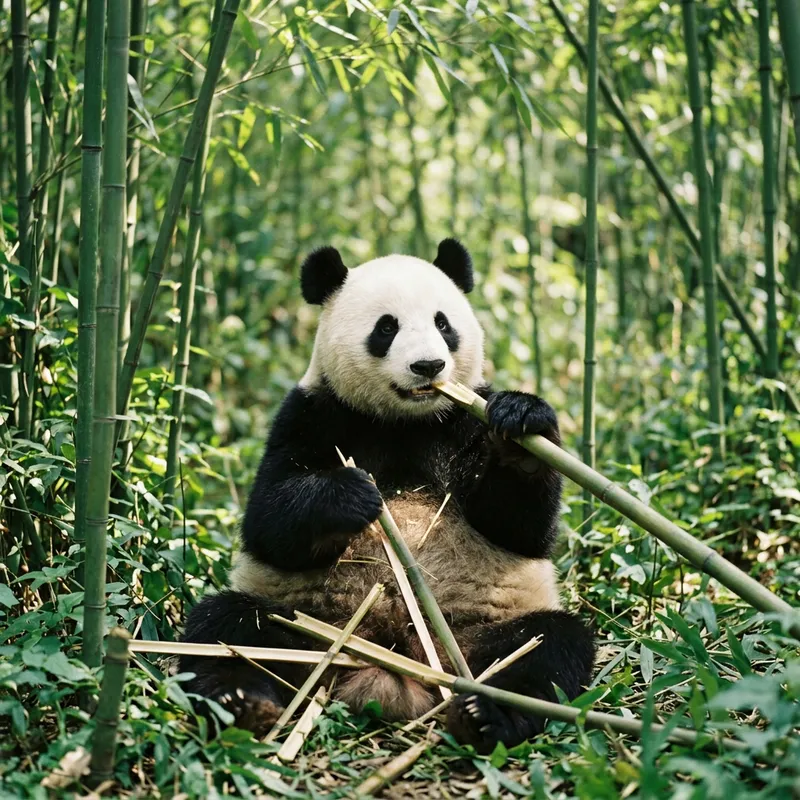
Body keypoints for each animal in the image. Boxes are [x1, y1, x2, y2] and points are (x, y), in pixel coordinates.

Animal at [181, 239, 595, 753]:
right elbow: (268, 523)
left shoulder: (463, 421)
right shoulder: (314, 413)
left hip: (482, 628)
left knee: (547, 647)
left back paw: (485, 716)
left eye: (443, 323)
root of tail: (395, 659)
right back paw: (243, 703)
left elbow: (520, 527)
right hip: (304, 623)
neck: (405, 421)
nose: (428, 367)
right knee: (229, 628)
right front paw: (351, 495)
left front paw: (520, 422)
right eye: (386, 327)